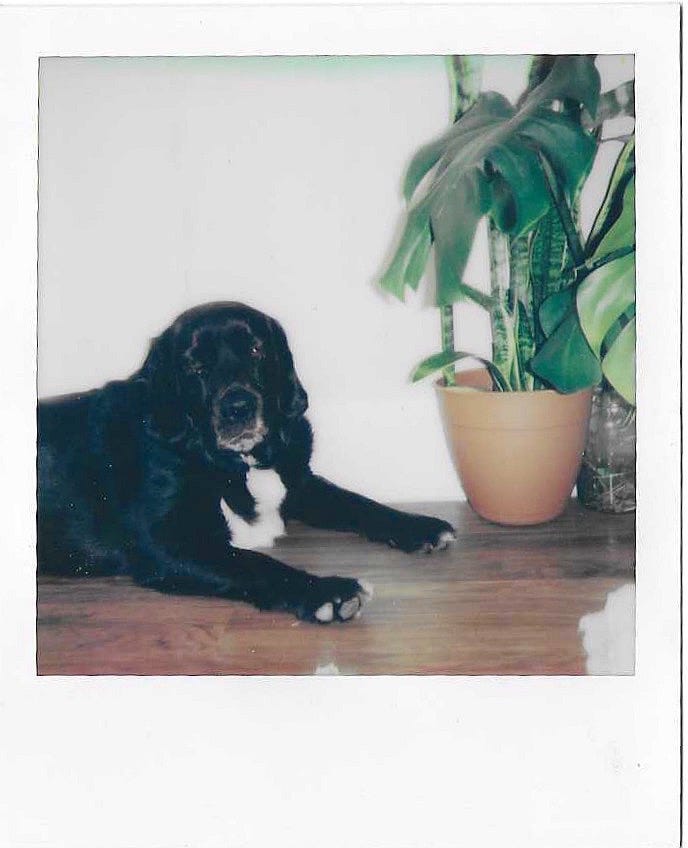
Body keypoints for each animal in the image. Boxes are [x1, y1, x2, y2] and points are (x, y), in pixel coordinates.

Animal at [39, 302, 456, 620]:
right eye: (194, 365)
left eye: (257, 350)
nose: (237, 407)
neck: (237, 464)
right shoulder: (167, 542)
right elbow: (256, 564)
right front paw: (328, 592)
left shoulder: (300, 484)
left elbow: (357, 502)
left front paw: (418, 526)